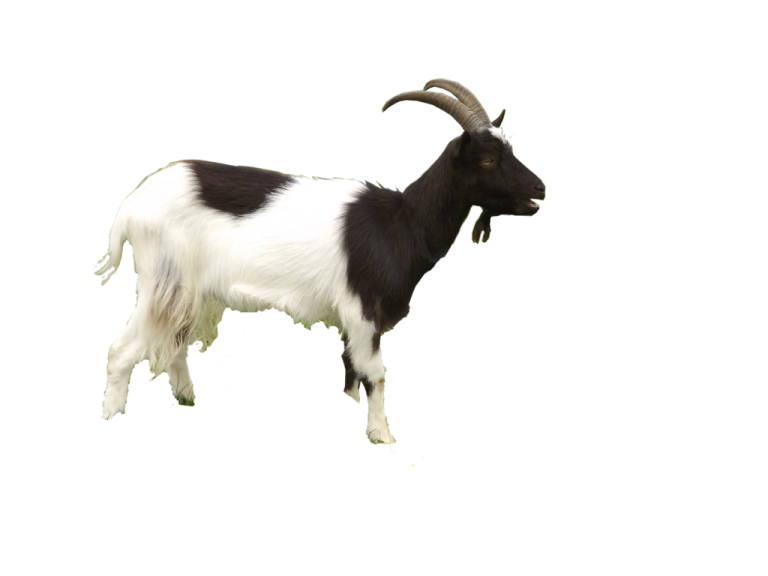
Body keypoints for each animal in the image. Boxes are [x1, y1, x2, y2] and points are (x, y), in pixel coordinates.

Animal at [90, 78, 545, 445]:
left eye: (509, 149)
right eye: (486, 160)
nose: (539, 188)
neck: (402, 223)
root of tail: (132, 204)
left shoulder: (351, 318)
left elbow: (350, 369)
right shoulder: (363, 307)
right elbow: (376, 373)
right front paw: (382, 435)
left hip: (190, 291)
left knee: (175, 344)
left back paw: (187, 400)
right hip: (165, 280)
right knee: (122, 351)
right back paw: (114, 417)